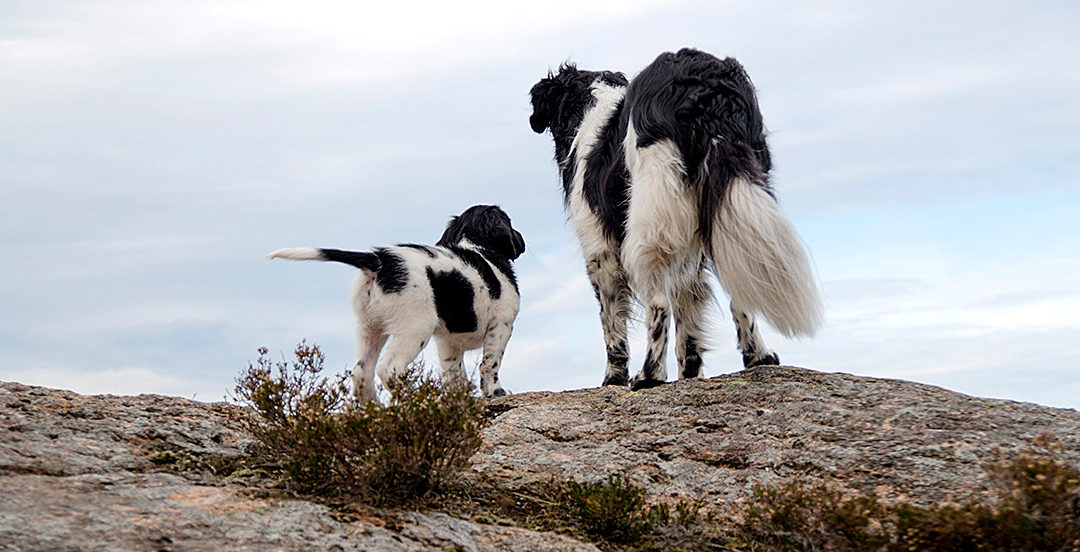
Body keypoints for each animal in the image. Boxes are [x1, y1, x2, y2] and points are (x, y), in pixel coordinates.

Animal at [267, 204, 524, 401]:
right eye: (510, 221)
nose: (522, 240)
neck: (480, 248)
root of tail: (378, 259)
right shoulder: (501, 325)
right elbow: (490, 364)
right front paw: (496, 392)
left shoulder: (448, 342)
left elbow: (454, 376)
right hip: (416, 326)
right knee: (389, 368)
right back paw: (415, 400)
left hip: (370, 327)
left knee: (361, 373)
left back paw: (374, 410)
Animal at [529, 49, 816, 391]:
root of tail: (705, 82)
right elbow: (689, 316)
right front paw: (690, 373)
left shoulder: (600, 251)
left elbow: (613, 325)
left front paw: (614, 379)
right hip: (736, 198)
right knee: (742, 282)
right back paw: (758, 356)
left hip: (653, 216)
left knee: (658, 302)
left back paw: (649, 375)